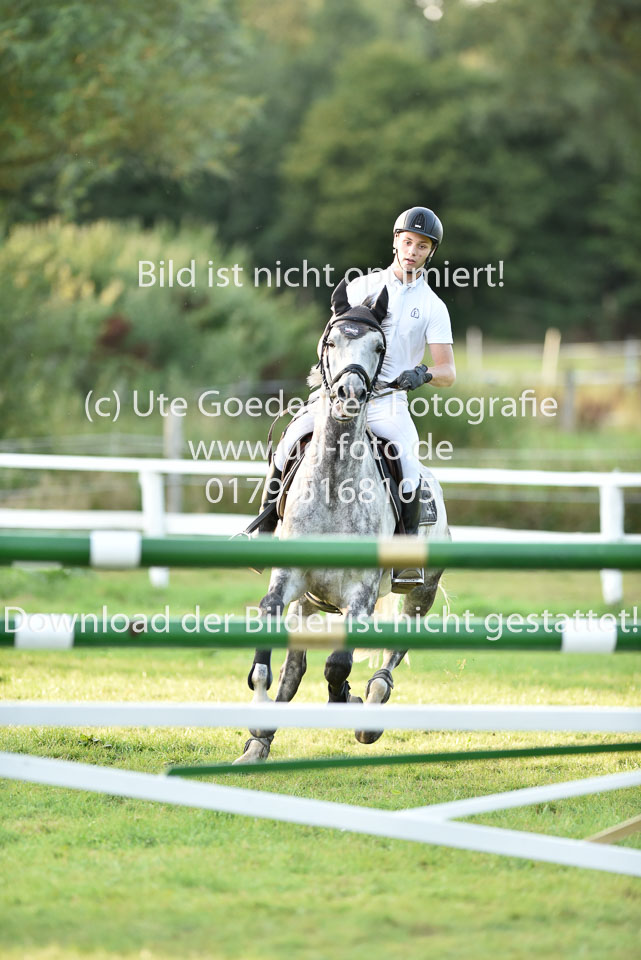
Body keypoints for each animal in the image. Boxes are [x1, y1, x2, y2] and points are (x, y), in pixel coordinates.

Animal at [234, 278, 450, 764]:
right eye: (332, 341)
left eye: (378, 346)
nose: (349, 396)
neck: (334, 485)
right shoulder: (288, 579)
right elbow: (266, 657)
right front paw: (257, 722)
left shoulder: (361, 595)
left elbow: (337, 667)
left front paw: (347, 700)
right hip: (310, 599)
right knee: (294, 668)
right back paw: (259, 744)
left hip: (421, 592)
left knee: (395, 650)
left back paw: (372, 702)